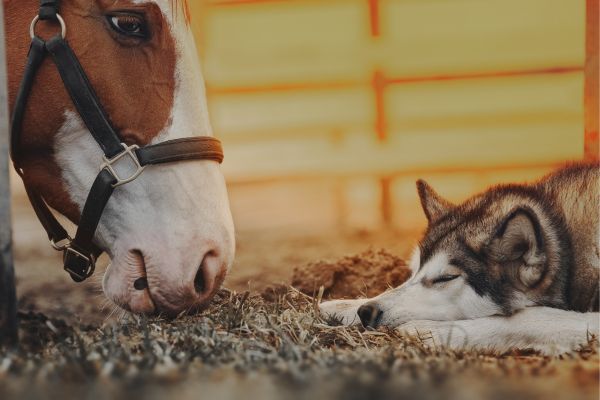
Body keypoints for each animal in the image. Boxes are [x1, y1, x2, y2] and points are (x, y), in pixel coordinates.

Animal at [324, 162, 600, 354]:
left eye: (445, 278)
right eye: (413, 271)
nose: (367, 312)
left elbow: (531, 317)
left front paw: (431, 330)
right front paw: (343, 306)